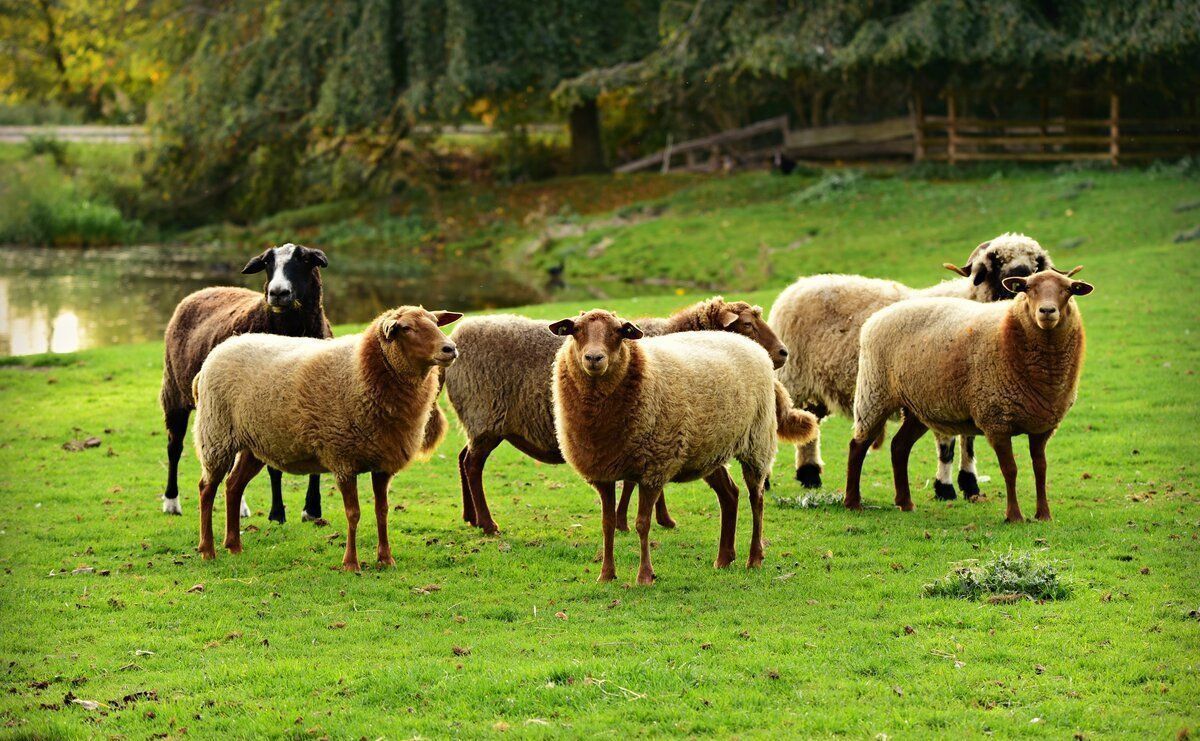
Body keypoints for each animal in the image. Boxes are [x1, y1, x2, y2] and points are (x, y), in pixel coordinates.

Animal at [192, 303, 458, 568]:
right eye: (406, 328)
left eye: (436, 322)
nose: (450, 348)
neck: (361, 370)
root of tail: (220, 349)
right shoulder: (343, 458)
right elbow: (353, 513)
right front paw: (351, 563)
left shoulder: (383, 462)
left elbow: (382, 511)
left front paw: (385, 558)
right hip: (216, 435)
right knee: (207, 488)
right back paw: (207, 550)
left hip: (254, 443)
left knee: (233, 486)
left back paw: (234, 545)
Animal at [441, 297, 787, 534]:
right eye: (746, 324)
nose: (783, 352)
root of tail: (457, 338)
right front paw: (643, 519)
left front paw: (648, 518)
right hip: (485, 417)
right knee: (472, 465)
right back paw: (488, 524)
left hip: (479, 423)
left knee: (462, 458)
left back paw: (470, 517)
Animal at [549, 309, 816, 582]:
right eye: (576, 330)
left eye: (619, 332)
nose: (594, 358)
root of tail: (750, 345)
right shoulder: (603, 472)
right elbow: (607, 524)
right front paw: (606, 575)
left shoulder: (654, 468)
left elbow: (642, 523)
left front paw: (645, 576)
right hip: (710, 450)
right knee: (730, 494)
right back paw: (724, 559)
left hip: (757, 442)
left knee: (757, 499)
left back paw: (754, 558)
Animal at [768, 230, 1051, 498]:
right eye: (997, 260)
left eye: (1036, 263)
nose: (1018, 282)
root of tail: (796, 286)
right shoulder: (938, 388)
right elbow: (947, 443)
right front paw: (945, 488)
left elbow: (968, 439)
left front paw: (970, 484)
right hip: (793, 380)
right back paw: (770, 480)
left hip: (816, 388)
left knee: (810, 425)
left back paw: (809, 475)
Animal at [849, 267, 1094, 520]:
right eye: (1027, 289)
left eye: (1068, 290)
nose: (1046, 311)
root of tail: (875, 318)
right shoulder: (996, 421)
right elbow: (1010, 469)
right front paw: (1014, 516)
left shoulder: (1042, 426)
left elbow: (1041, 469)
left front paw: (1043, 515)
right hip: (874, 393)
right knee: (858, 446)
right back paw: (853, 502)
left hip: (918, 406)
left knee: (899, 446)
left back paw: (905, 502)